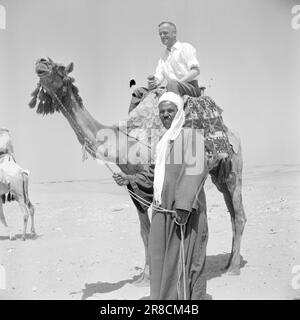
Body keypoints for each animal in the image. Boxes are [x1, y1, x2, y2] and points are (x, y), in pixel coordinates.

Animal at [29, 57, 246, 282]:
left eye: (59, 68)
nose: (41, 62)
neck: (123, 143)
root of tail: (233, 132)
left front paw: (152, 275)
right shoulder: (133, 185)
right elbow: (144, 231)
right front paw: (144, 276)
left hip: (234, 169)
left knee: (239, 215)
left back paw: (233, 268)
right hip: (219, 175)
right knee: (231, 213)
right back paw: (228, 262)